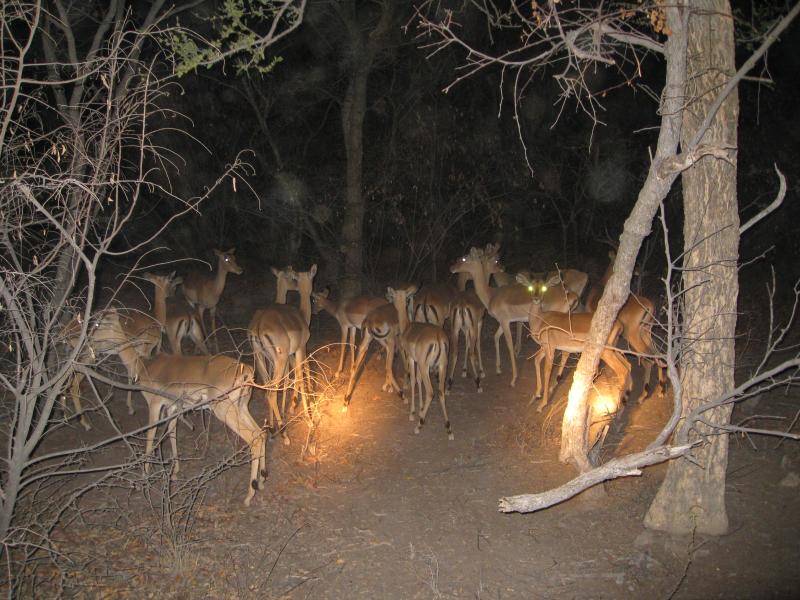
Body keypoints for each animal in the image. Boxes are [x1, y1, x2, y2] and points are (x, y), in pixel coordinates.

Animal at [89, 309, 266, 506]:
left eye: (98, 324)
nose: (89, 342)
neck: (143, 366)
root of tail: (247, 370)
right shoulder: (172, 408)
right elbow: (172, 433)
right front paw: (174, 473)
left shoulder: (155, 405)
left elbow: (150, 437)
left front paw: (144, 478)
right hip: (242, 407)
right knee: (261, 433)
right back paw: (262, 481)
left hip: (224, 410)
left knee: (253, 439)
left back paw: (248, 496)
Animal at [248, 265, 316, 444]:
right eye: (292, 278)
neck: (302, 316)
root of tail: (258, 326)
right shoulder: (300, 349)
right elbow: (301, 375)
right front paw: (309, 417)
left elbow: (290, 379)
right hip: (280, 359)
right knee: (272, 392)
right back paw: (283, 433)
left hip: (261, 358)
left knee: (268, 388)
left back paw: (271, 429)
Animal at [388, 285, 452, 440]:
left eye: (393, 295)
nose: (388, 298)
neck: (407, 327)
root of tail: (438, 337)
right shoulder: (419, 363)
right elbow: (418, 380)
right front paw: (421, 408)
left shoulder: (411, 359)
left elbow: (413, 381)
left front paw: (413, 413)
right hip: (442, 366)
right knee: (441, 391)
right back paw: (448, 428)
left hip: (425, 367)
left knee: (431, 392)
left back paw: (419, 424)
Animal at [517, 273, 632, 412]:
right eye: (530, 287)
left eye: (544, 288)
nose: (536, 299)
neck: (540, 320)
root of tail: (619, 324)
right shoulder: (544, 348)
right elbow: (536, 360)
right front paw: (537, 394)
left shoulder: (551, 348)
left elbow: (547, 371)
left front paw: (542, 405)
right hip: (613, 349)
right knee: (628, 365)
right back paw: (627, 395)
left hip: (606, 352)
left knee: (622, 370)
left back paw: (617, 406)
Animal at [586, 251, 665, 396]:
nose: (641, 271)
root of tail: (649, 306)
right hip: (646, 331)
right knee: (657, 354)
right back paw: (661, 389)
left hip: (633, 335)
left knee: (649, 358)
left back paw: (643, 394)